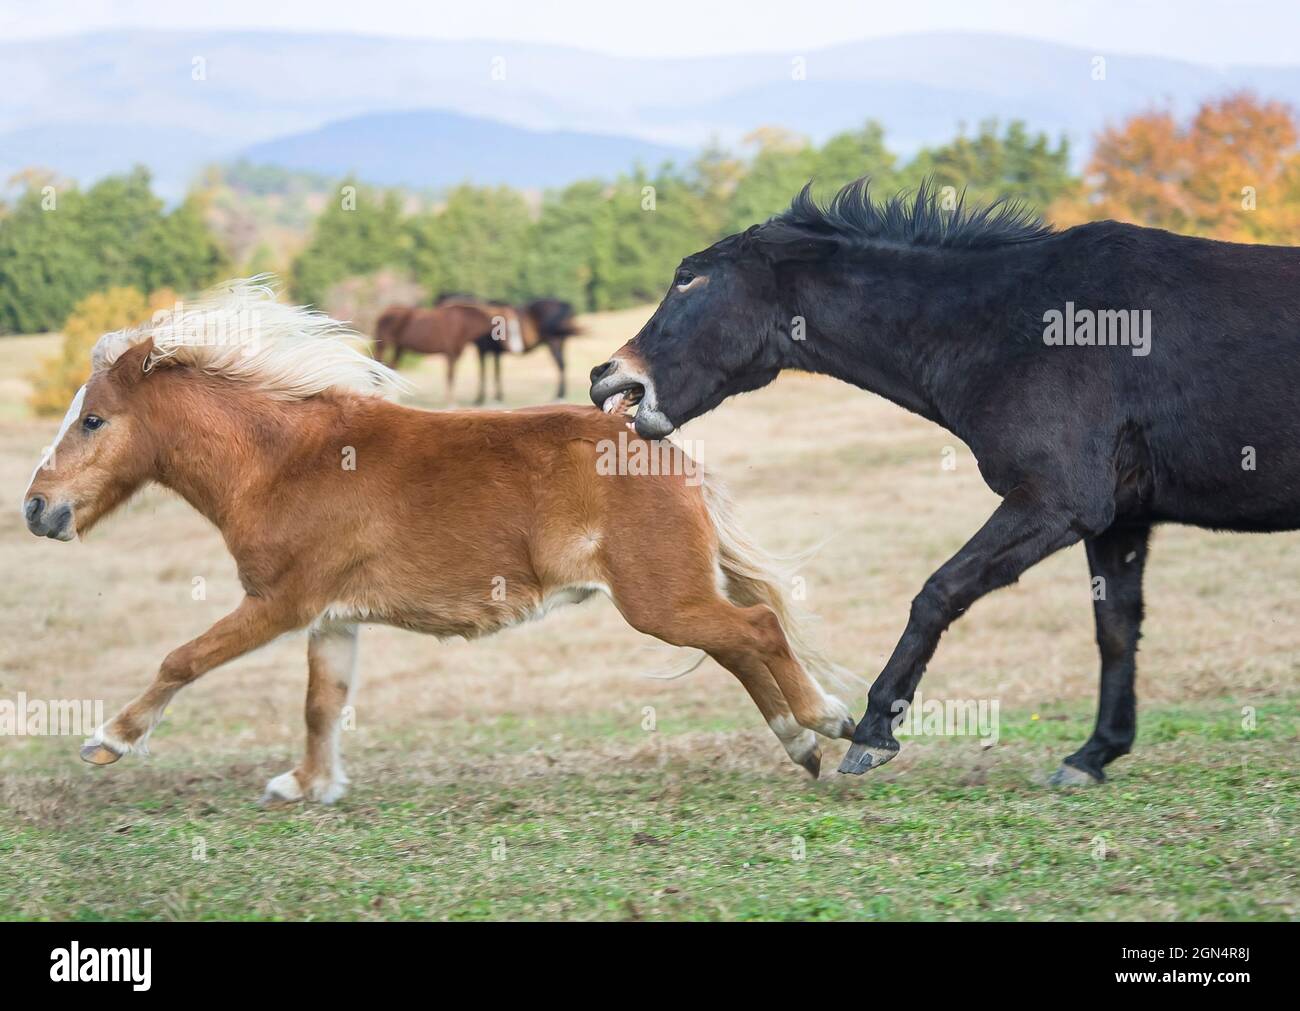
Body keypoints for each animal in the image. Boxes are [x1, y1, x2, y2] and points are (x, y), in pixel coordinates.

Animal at [22, 281, 854, 805]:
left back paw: (826, 719)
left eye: (93, 419)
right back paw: (800, 742)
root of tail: (674, 457)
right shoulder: (331, 617)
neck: (281, 461)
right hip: (672, 595)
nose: (36, 507)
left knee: (758, 627)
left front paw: (109, 740)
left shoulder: (279, 602)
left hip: (660, 600)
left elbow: (183, 658)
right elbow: (322, 703)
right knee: (738, 645)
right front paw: (309, 785)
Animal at [591, 176, 1300, 786]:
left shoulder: (1057, 502)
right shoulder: (1119, 520)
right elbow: (1117, 629)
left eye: (689, 278)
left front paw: (873, 731)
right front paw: (1095, 754)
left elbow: (940, 591)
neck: (1025, 323)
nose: (608, 377)